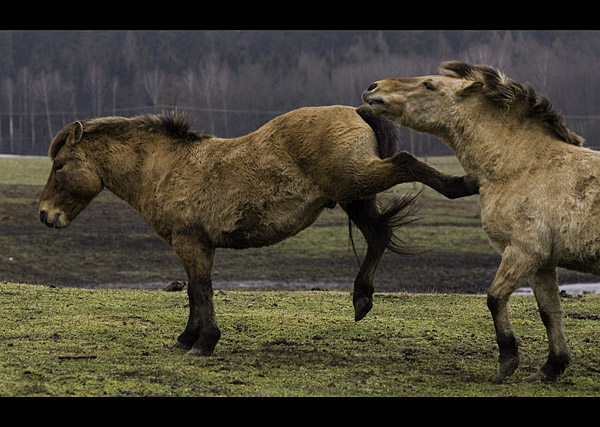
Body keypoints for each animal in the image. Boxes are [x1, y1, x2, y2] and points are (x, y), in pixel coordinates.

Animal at [37, 104, 478, 358]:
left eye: (59, 165)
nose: (45, 215)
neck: (166, 168)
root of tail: (355, 109)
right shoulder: (194, 245)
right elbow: (194, 291)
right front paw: (187, 338)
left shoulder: (191, 243)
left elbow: (201, 290)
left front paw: (204, 343)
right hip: (353, 195)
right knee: (378, 235)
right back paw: (361, 299)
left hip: (356, 180)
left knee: (404, 164)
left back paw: (465, 185)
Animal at [360, 60, 596, 384]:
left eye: (429, 85)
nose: (374, 88)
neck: (524, 166)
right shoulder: (542, 262)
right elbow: (550, 311)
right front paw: (550, 368)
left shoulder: (523, 252)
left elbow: (495, 299)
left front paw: (507, 362)